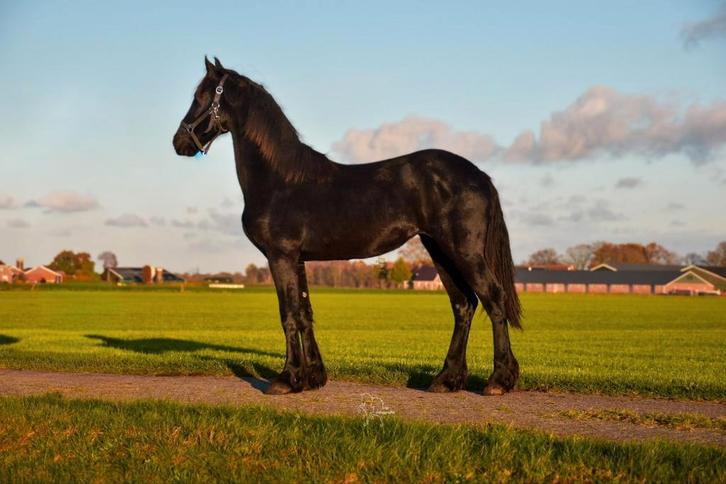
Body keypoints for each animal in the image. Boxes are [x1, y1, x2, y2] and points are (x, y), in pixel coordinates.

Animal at [173, 57, 522, 396]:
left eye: (200, 97)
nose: (179, 142)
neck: (280, 180)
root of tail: (480, 176)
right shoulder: (297, 258)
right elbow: (305, 313)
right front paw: (313, 377)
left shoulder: (280, 255)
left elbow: (289, 314)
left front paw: (287, 379)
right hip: (440, 251)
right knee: (464, 305)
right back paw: (446, 380)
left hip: (464, 251)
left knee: (494, 299)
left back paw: (498, 381)